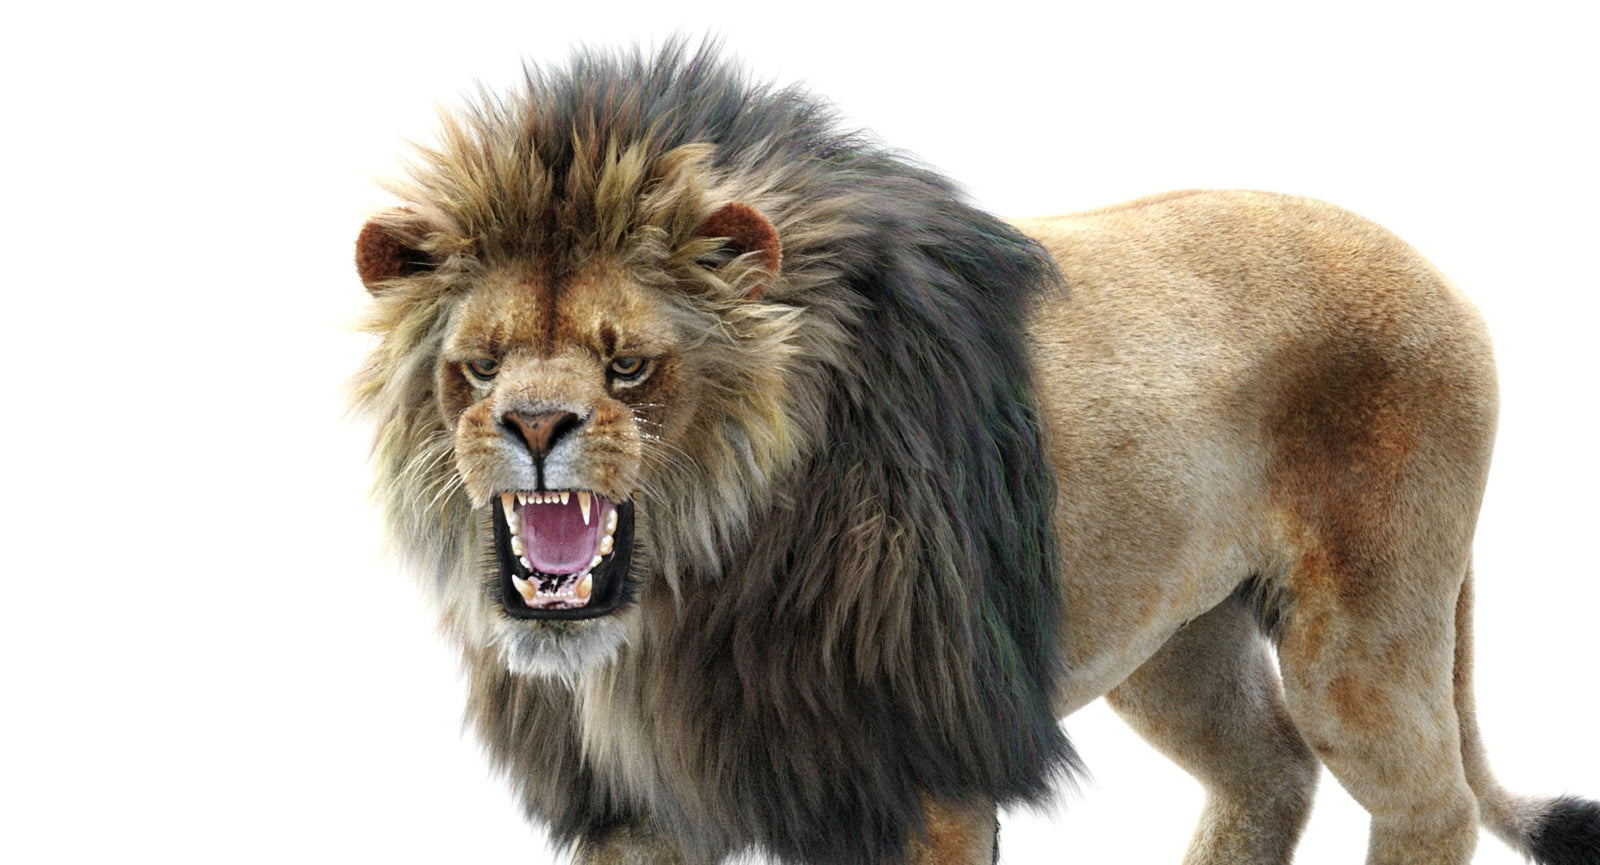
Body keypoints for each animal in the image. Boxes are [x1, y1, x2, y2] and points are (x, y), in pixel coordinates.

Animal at [351, 42, 1600, 865]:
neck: (688, 599)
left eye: (627, 366)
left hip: (1361, 629)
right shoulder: (639, 803)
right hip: (1175, 639)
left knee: (1428, 801)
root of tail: (1444, 276)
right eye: (478, 366)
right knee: (1271, 769)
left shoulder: (923, 774)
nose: (532, 429)